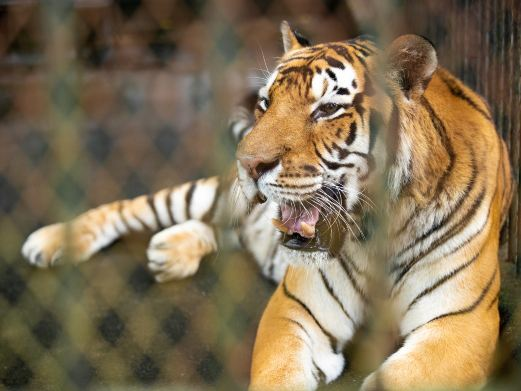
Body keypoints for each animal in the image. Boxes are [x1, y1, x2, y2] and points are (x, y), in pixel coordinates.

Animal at [22, 22, 510, 391]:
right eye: (265, 102)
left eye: (328, 108)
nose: (248, 162)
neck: (379, 229)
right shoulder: (295, 308)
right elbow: (278, 374)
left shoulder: (461, 325)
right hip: (210, 194)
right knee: (130, 208)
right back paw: (50, 242)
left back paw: (170, 253)